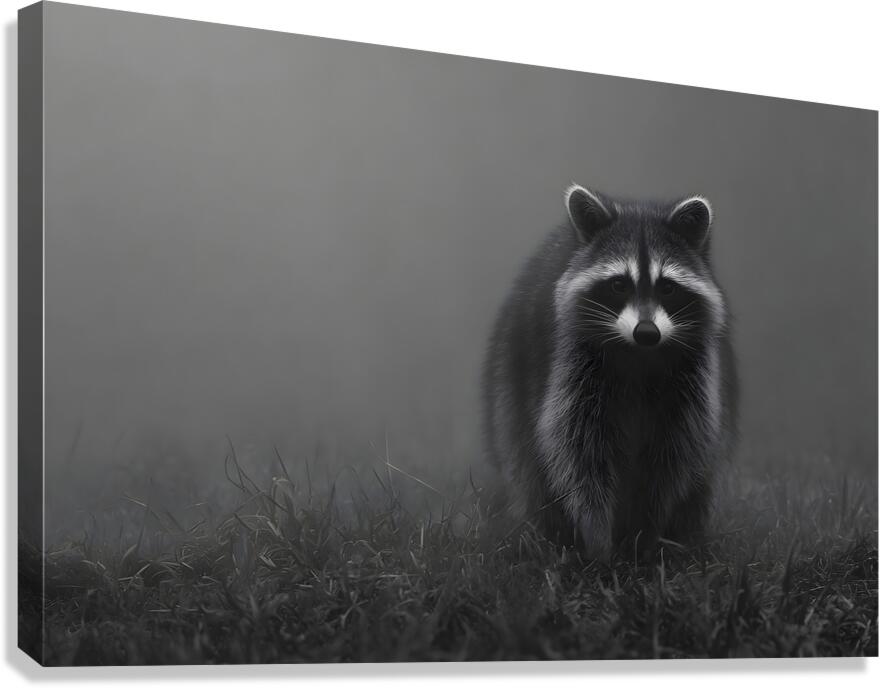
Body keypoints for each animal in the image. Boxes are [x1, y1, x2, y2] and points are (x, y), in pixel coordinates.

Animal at [482, 185, 737, 560]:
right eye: (619, 285)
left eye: (667, 287)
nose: (647, 332)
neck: (639, 354)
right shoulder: (573, 368)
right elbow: (579, 452)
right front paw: (597, 537)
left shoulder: (692, 378)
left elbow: (672, 456)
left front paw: (646, 533)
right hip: (511, 375)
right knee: (526, 459)